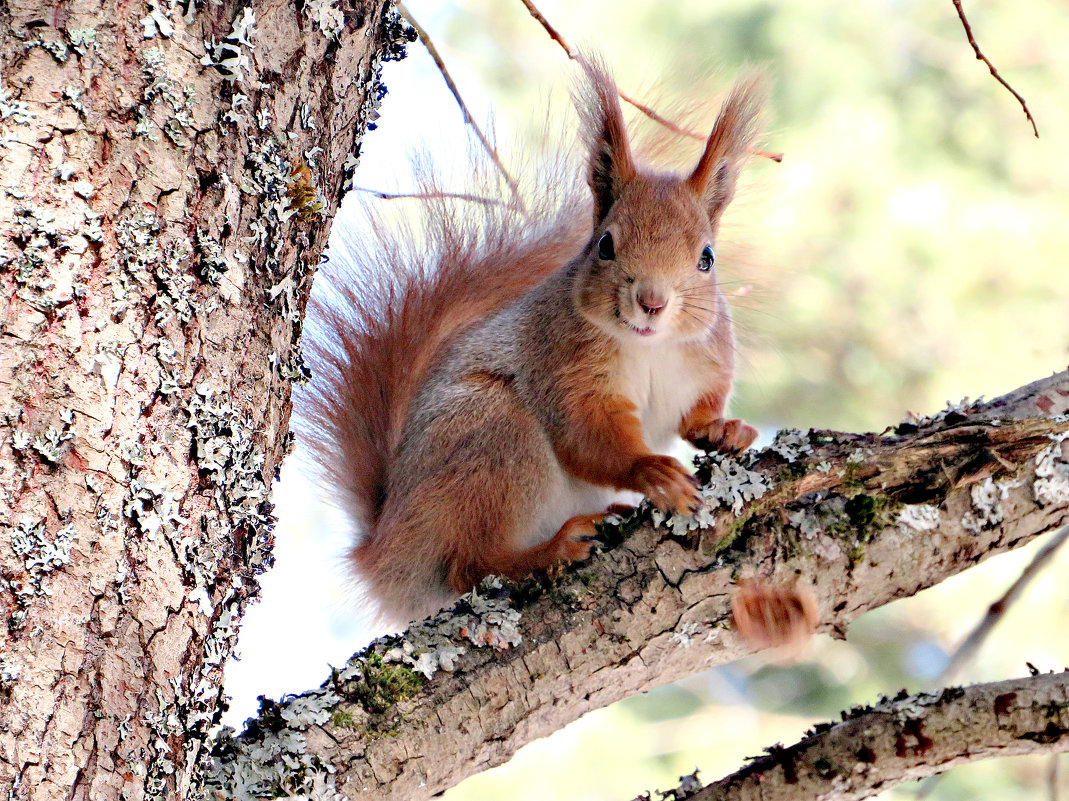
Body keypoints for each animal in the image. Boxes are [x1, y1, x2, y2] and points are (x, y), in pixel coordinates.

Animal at [301, 60, 765, 624]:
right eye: (605, 245)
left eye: (707, 258)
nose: (652, 302)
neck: (650, 347)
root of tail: (385, 554)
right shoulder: (561, 367)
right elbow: (587, 436)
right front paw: (651, 471)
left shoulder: (703, 365)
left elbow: (693, 417)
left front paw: (726, 430)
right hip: (492, 438)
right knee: (469, 565)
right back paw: (553, 548)